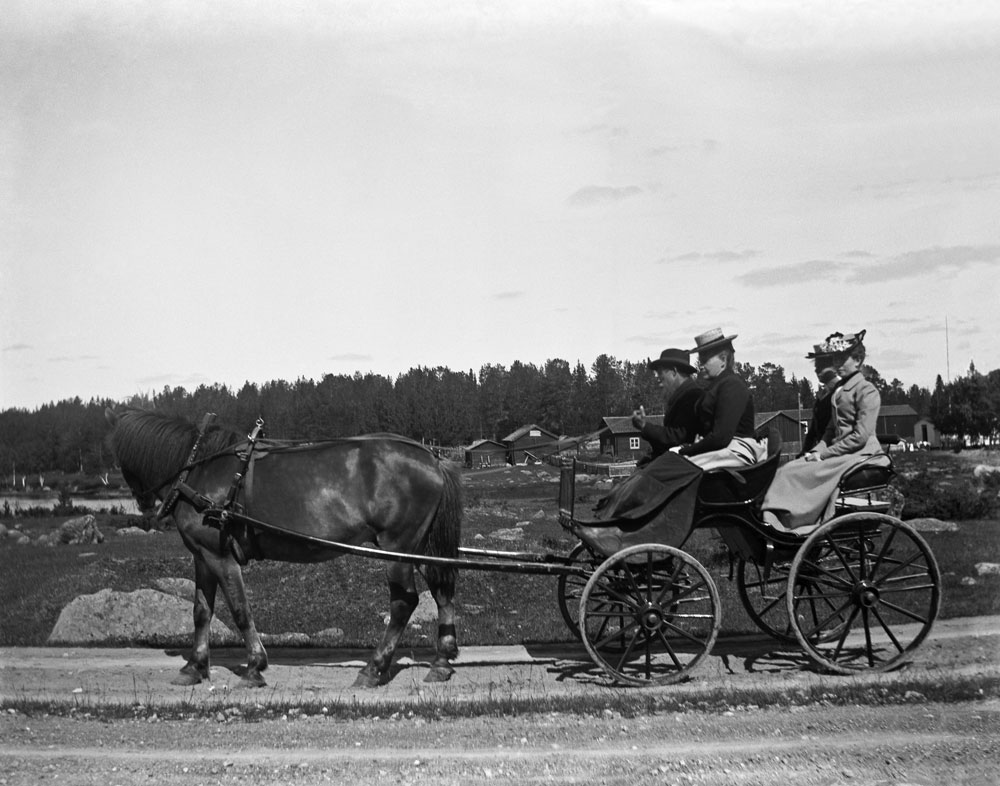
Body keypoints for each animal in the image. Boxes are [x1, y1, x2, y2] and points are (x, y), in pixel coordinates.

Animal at [103, 404, 462, 688]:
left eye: (118, 457)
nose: (143, 504)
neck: (198, 467)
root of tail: (432, 457)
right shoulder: (202, 556)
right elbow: (201, 612)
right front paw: (195, 666)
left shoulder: (219, 555)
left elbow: (240, 610)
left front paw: (254, 666)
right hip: (419, 547)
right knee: (442, 591)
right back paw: (441, 662)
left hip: (397, 548)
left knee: (404, 603)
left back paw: (374, 669)